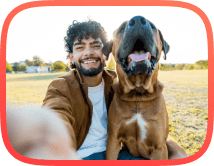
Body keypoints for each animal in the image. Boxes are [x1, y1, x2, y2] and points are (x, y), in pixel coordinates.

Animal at [102, 16, 187, 160]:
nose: (137, 20)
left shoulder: (159, 147)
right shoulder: (113, 141)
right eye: (122, 29)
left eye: (152, 26)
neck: (138, 94)